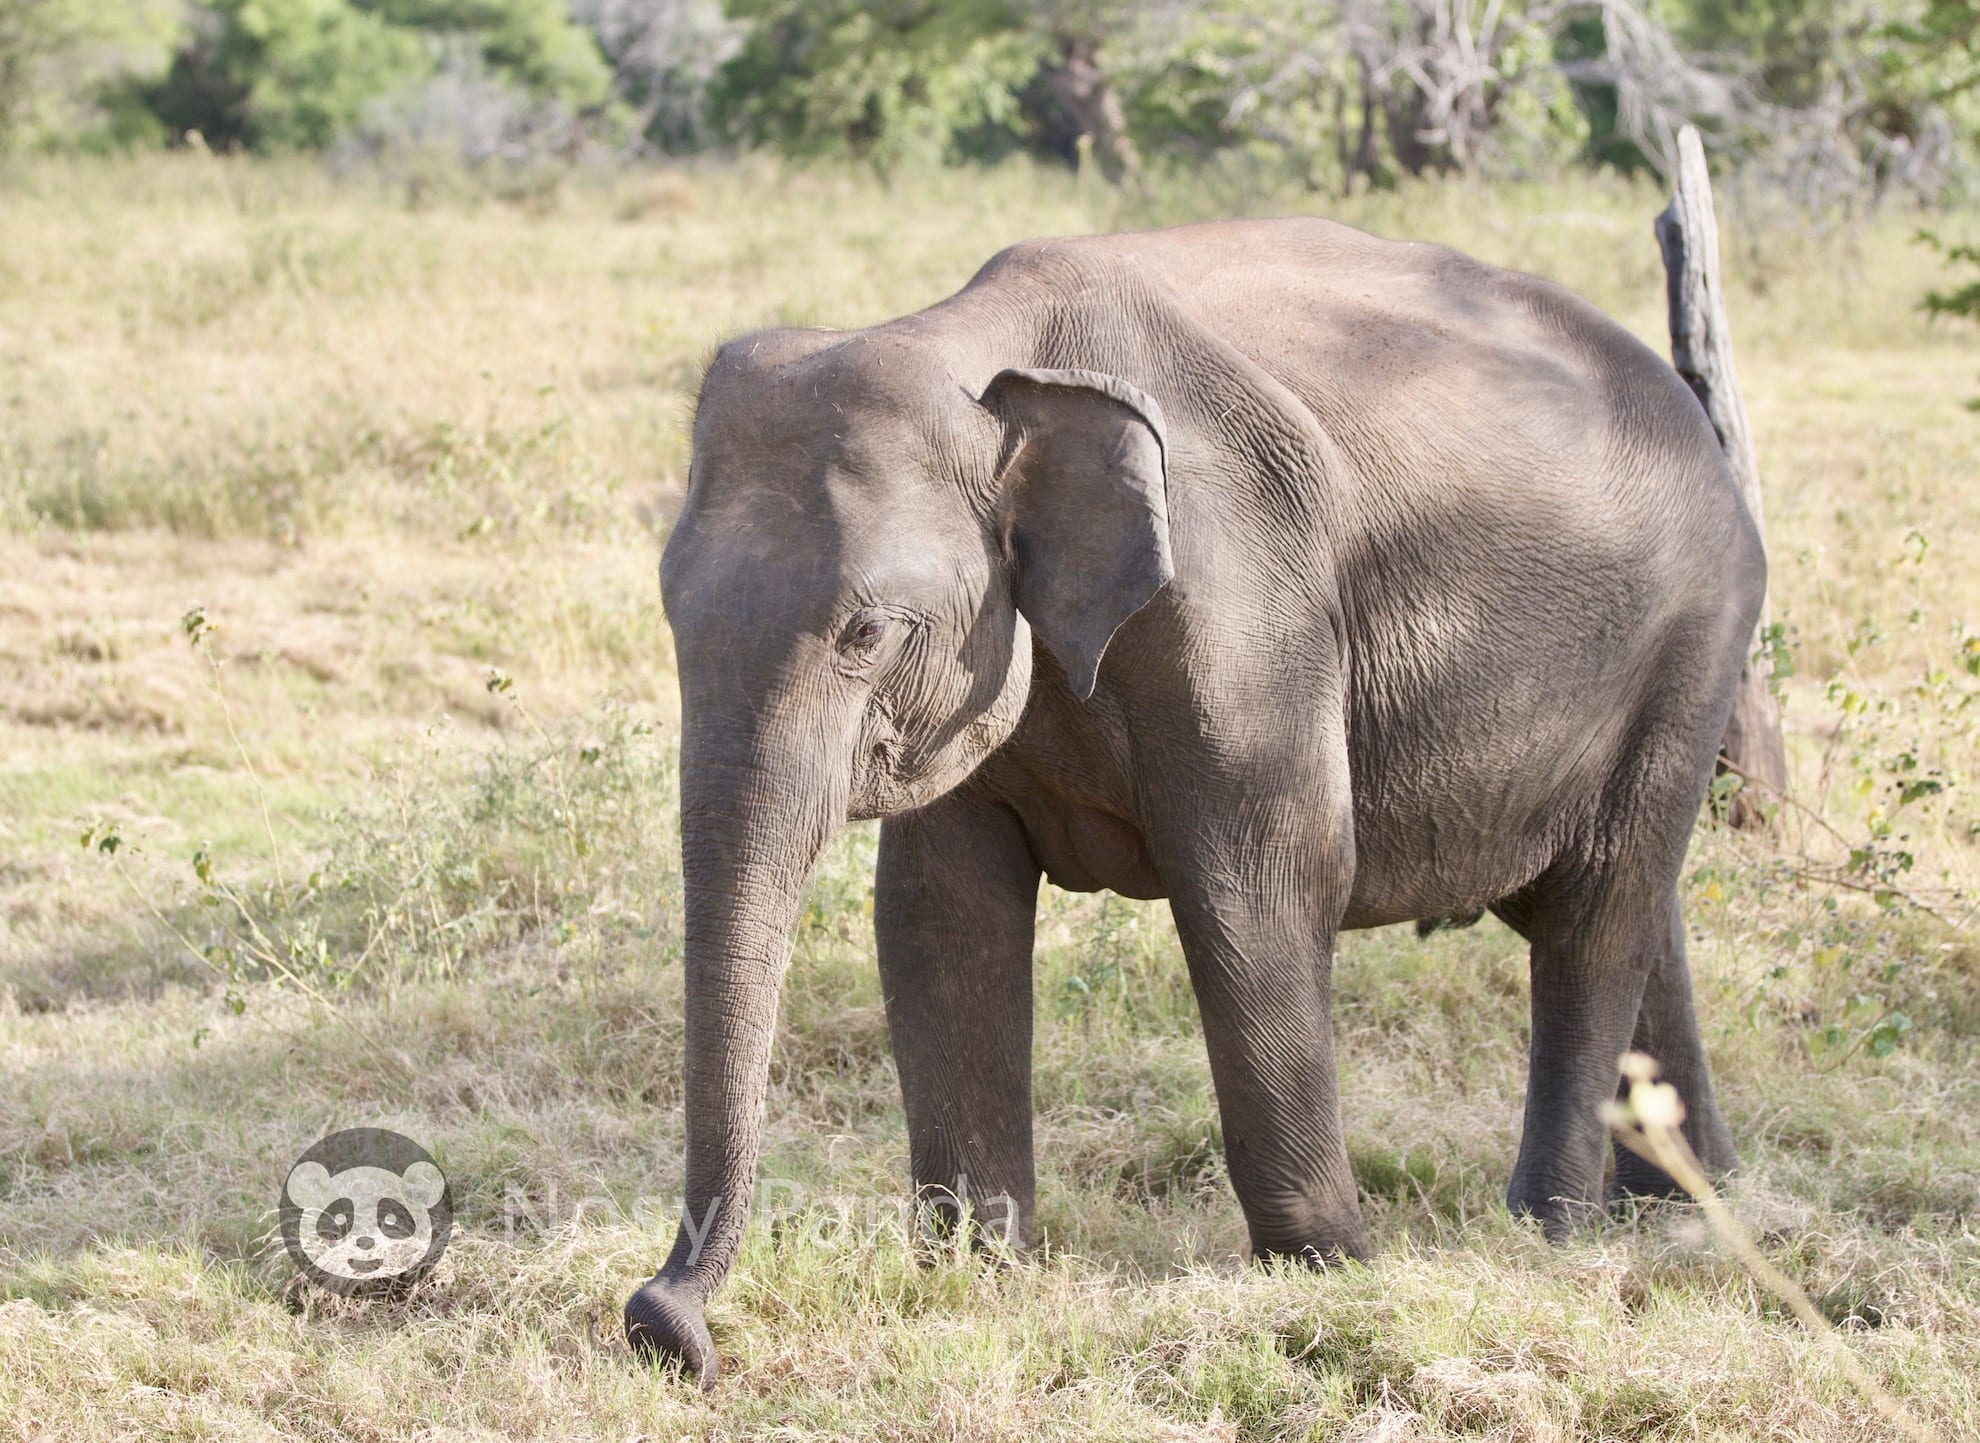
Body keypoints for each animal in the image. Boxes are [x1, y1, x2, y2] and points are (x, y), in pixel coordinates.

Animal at [626, 216, 1758, 1382]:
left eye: (866, 632)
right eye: (668, 610)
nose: (662, 1328)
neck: (980, 347)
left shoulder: (1243, 601)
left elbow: (1264, 885)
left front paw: (1329, 1268)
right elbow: (941, 911)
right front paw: (974, 1265)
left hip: (1693, 641)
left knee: (1595, 912)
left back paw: (1549, 1232)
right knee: (1638, 908)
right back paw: (1687, 1202)